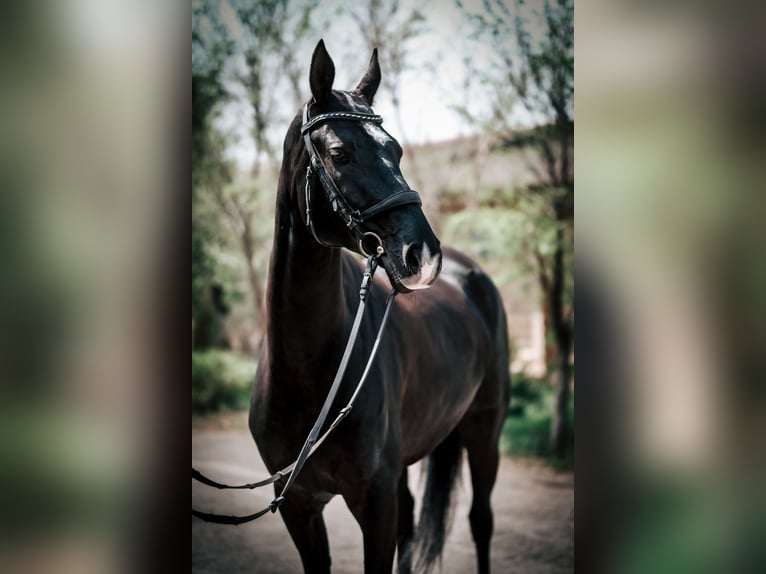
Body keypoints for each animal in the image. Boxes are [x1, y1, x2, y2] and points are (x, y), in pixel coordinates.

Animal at [252, 38, 512, 572]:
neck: (309, 374)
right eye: (339, 152)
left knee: (481, 521)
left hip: (485, 431)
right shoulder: (299, 508)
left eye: (395, 150)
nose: (423, 255)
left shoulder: (374, 503)